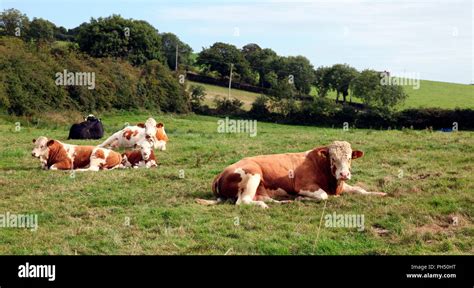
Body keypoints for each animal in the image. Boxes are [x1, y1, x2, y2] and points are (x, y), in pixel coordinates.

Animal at [196, 141, 386, 208]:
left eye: (349, 157)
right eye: (332, 157)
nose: (344, 174)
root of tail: (220, 173)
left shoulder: (343, 184)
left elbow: (360, 190)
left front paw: (380, 193)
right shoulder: (304, 186)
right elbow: (323, 196)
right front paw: (302, 198)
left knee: (261, 198)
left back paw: (284, 201)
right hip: (253, 174)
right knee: (243, 201)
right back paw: (265, 206)